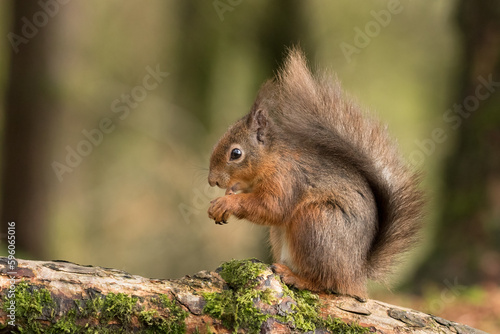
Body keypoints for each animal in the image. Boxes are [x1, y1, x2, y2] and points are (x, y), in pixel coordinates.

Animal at [206, 47, 422, 298]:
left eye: (236, 153)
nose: (212, 180)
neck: (272, 159)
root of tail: (356, 273)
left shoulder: (286, 178)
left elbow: (272, 207)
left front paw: (226, 203)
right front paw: (225, 198)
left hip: (316, 223)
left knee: (326, 282)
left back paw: (296, 277)